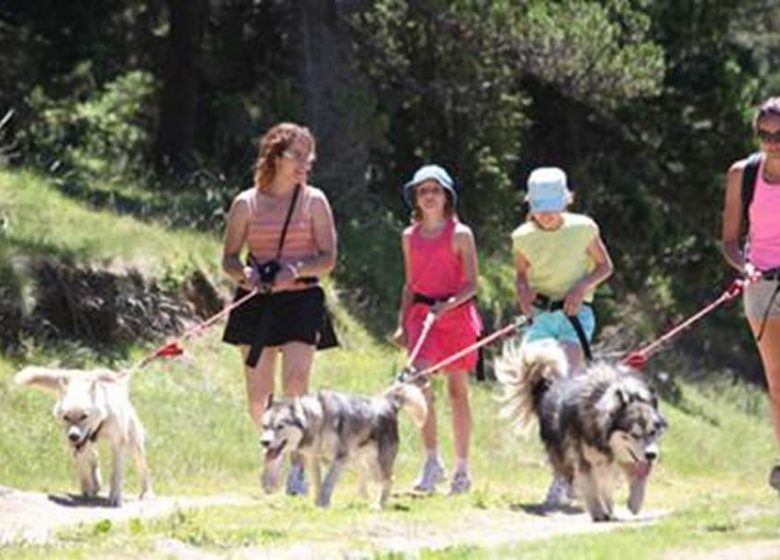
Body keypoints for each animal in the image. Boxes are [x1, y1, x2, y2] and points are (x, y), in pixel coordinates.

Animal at [14, 366, 152, 506]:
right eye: (66, 417)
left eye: (84, 416)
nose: (73, 436)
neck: (102, 420)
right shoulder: (78, 445)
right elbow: (83, 468)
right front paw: (86, 489)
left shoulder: (118, 444)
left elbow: (116, 474)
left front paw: (115, 498)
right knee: (93, 458)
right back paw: (94, 484)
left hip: (134, 442)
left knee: (143, 467)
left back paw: (146, 493)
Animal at [260, 382, 426, 510]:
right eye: (265, 426)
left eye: (280, 426)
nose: (264, 442)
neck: (319, 419)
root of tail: (387, 402)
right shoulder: (314, 459)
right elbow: (318, 483)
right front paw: (317, 502)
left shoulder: (340, 457)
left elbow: (328, 483)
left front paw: (323, 504)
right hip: (357, 459)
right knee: (365, 472)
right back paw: (364, 496)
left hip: (377, 464)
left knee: (389, 479)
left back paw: (378, 505)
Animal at [496, 340, 668, 524]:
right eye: (634, 434)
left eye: (653, 432)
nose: (652, 455)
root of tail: (548, 387)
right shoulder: (584, 458)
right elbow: (591, 485)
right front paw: (598, 511)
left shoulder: (622, 458)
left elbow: (637, 478)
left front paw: (635, 502)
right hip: (563, 454)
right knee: (574, 478)